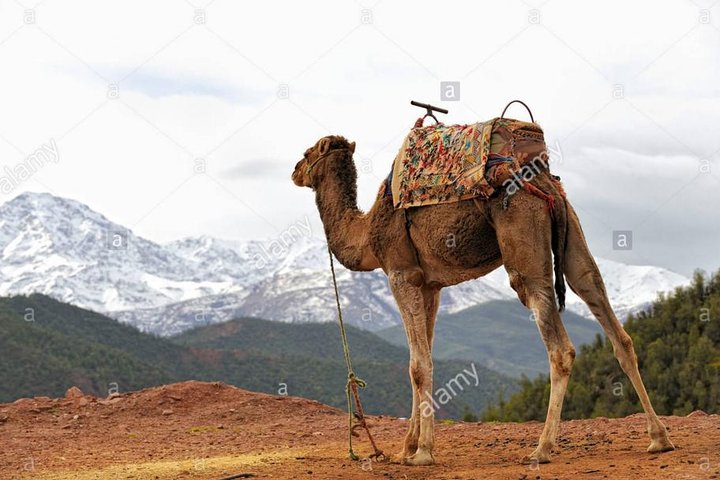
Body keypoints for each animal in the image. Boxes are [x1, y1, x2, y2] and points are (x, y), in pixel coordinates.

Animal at [291, 134, 675, 466]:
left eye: (309, 152)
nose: (295, 170)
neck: (368, 234)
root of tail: (546, 187)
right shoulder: (430, 285)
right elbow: (422, 358)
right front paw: (408, 447)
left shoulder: (400, 273)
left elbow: (418, 365)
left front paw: (423, 453)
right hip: (574, 240)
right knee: (607, 313)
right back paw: (659, 438)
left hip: (525, 251)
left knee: (560, 346)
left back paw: (542, 448)